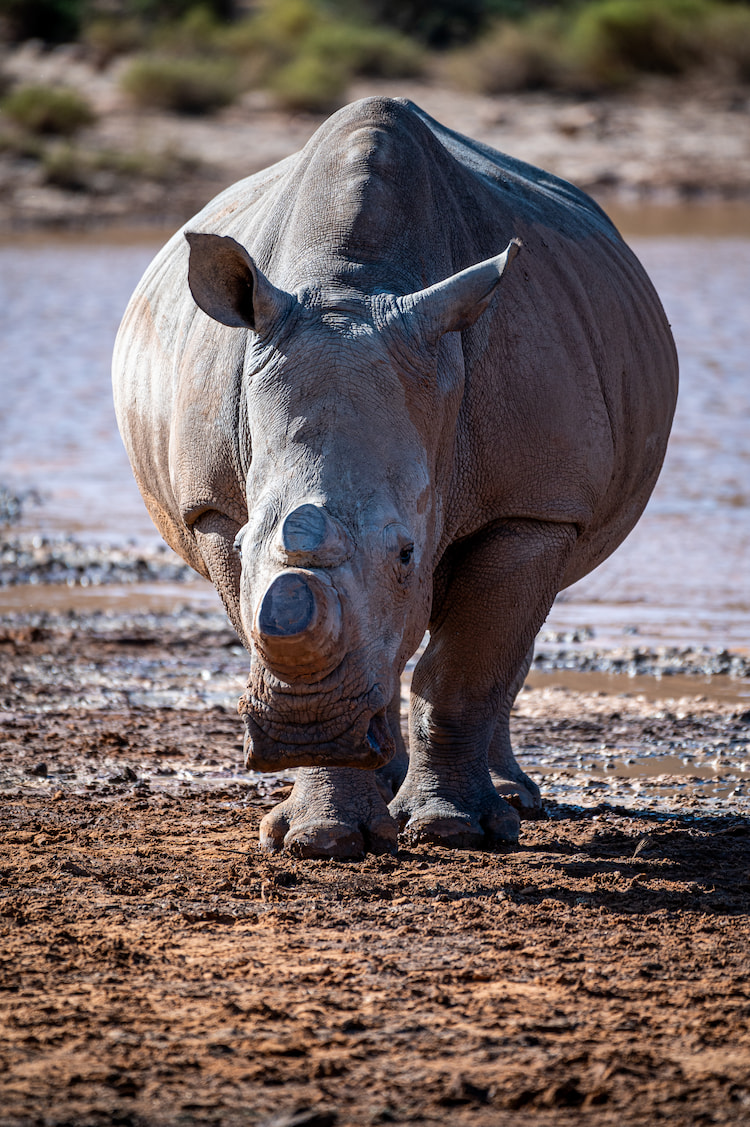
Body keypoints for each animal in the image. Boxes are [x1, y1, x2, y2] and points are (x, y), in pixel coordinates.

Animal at [113, 97, 677, 858]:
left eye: (408, 553)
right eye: (251, 540)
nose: (304, 730)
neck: (354, 286)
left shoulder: (536, 506)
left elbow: (467, 666)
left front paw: (453, 829)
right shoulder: (214, 512)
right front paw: (322, 836)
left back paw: (509, 803)